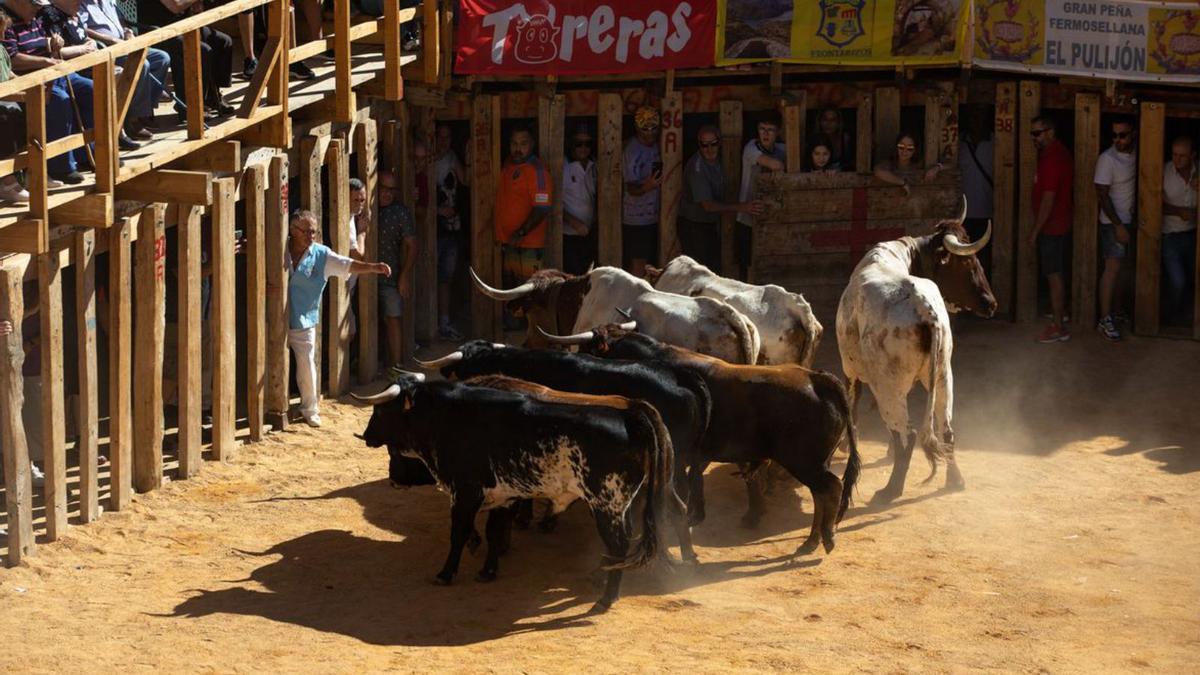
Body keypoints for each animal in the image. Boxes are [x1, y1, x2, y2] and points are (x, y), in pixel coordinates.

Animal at [355, 374, 681, 612]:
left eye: (381, 409)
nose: (367, 435)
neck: (447, 417)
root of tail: (632, 415)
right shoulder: (503, 496)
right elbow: (493, 531)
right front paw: (488, 571)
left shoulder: (464, 493)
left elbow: (459, 533)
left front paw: (446, 574)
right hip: (618, 505)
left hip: (606, 504)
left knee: (619, 544)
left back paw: (606, 598)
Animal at [544, 324, 864, 552]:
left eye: (590, 347)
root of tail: (817, 379)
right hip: (814, 462)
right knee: (822, 493)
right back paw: (811, 539)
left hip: (805, 461)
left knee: (830, 488)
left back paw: (823, 538)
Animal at [835, 196, 993, 502]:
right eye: (967, 261)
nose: (991, 303)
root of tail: (924, 308)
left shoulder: (850, 368)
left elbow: (854, 402)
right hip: (944, 375)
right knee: (946, 430)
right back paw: (954, 480)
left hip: (887, 385)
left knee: (906, 434)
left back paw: (890, 490)